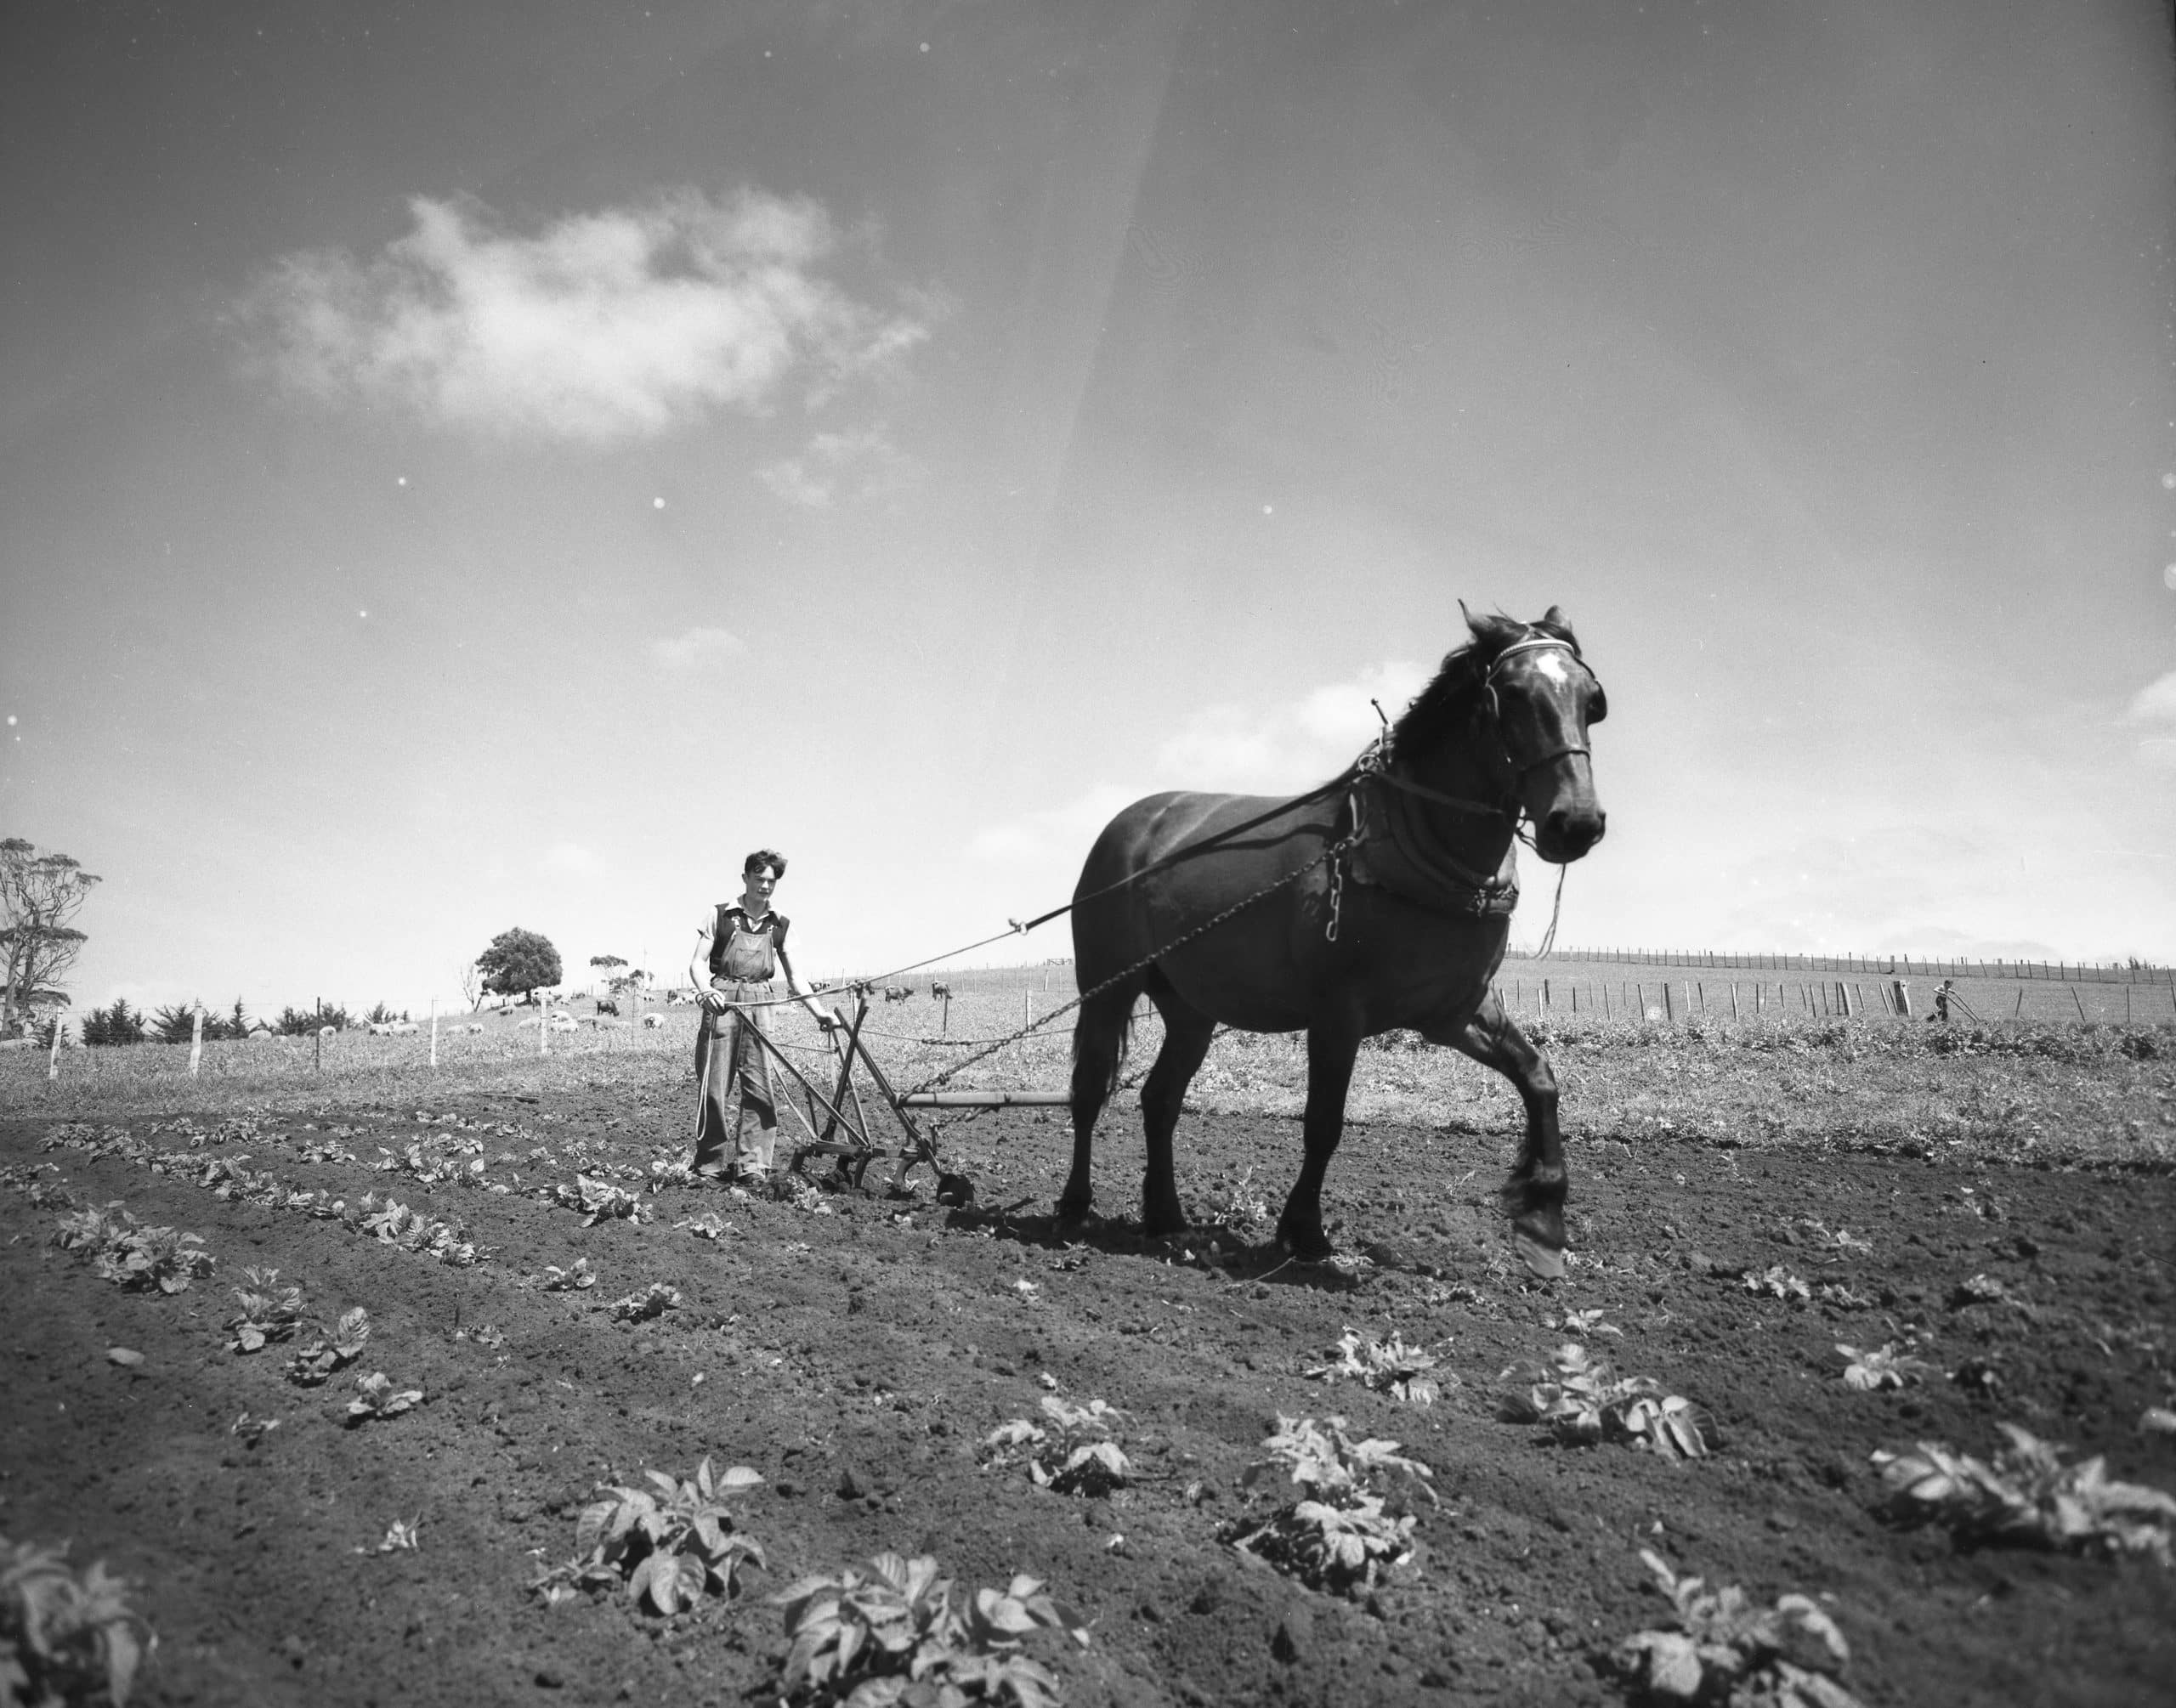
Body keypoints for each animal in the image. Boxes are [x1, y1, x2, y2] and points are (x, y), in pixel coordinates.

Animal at [1061, 606, 1607, 1278]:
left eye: (1591, 699)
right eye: (1513, 695)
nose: (1576, 823)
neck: (1401, 848)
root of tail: (1132, 823)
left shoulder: (1455, 1011)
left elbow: (1539, 1079)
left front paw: (1543, 1220)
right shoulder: (1337, 1014)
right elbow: (1323, 1123)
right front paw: (1304, 1231)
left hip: (1190, 1010)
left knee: (1159, 1099)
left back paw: (1165, 1216)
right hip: (1107, 988)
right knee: (1089, 1091)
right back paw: (1074, 1206)